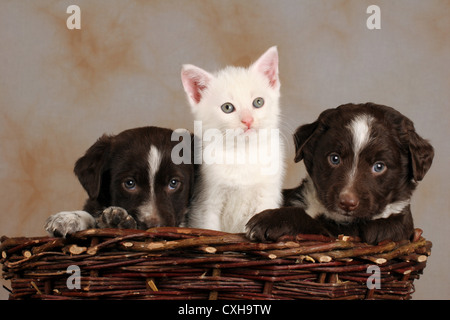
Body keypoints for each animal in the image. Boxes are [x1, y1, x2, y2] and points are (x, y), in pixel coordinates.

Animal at [180, 46, 284, 232]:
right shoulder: (205, 204)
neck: (242, 152)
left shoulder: (267, 196)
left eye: (258, 102)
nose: (248, 120)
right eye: (227, 107)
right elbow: (210, 228)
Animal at [248, 104, 434, 244]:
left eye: (379, 166)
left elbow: (314, 224)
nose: (347, 203)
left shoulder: (363, 232)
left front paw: (270, 220)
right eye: (334, 158)